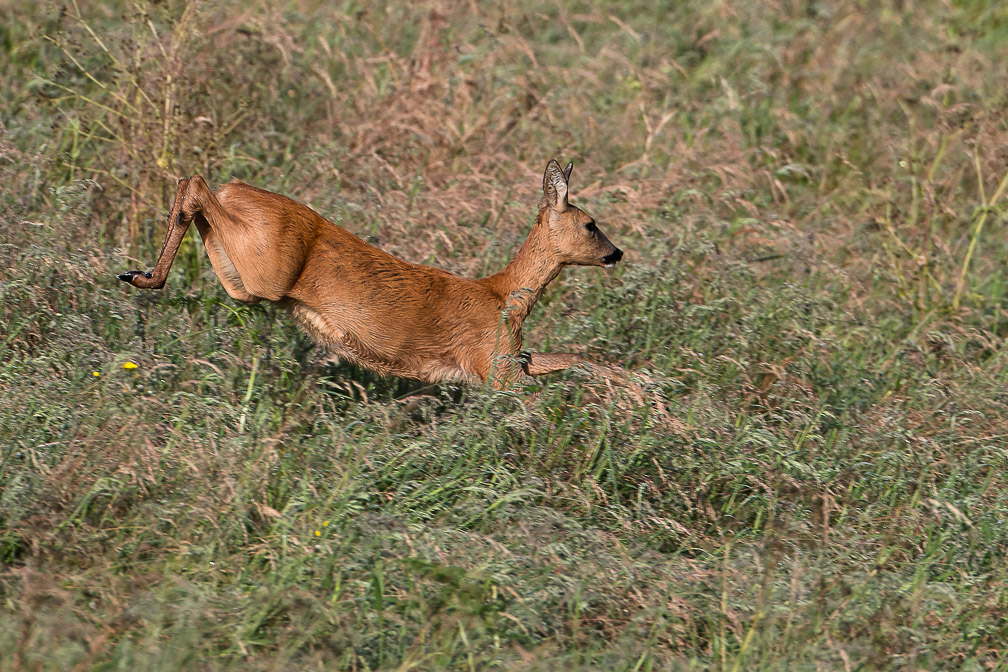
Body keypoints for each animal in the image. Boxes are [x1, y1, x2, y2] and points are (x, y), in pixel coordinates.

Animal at [117, 160, 620, 386]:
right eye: (591, 224)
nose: (616, 253)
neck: (506, 299)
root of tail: (237, 190)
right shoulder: (495, 366)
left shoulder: (514, 357)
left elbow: (578, 357)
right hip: (266, 272)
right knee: (194, 184)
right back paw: (141, 277)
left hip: (242, 279)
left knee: (192, 187)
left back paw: (137, 275)